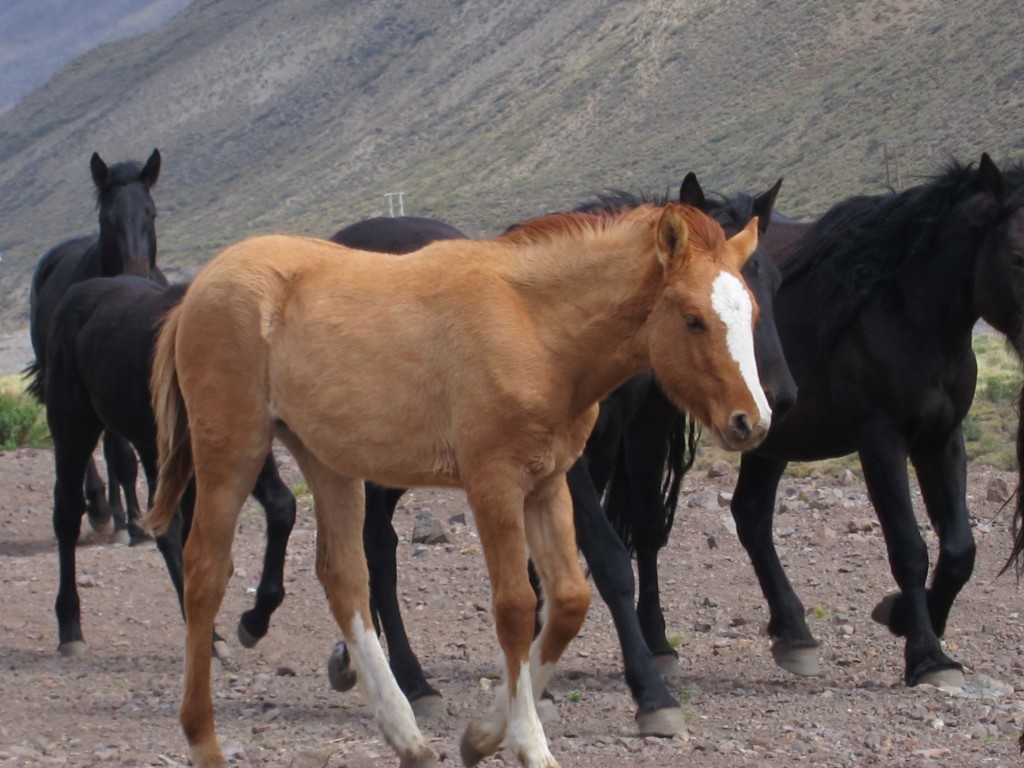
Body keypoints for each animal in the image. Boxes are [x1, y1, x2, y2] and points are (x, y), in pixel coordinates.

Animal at [28, 151, 163, 548]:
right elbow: (121, 456)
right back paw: (104, 513)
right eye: (108, 219)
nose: (136, 274)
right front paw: (135, 525)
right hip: (66, 386)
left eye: (151, 213)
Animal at [144, 204, 770, 768]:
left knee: (342, 575)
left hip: (325, 460)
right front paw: (529, 745)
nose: (753, 422)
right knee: (206, 571)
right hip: (232, 450)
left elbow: (568, 601)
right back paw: (204, 740)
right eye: (693, 317)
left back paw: (409, 738)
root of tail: (201, 284)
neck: (535, 329)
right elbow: (515, 607)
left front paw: (481, 736)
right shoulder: (493, 482)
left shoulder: (548, 483)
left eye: (755, 315)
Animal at [610, 151, 1019, 692]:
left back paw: (793, 632)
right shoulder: (882, 440)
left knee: (750, 516)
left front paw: (906, 620)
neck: (906, 310)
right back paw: (658, 643)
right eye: (1017, 254)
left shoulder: (942, 438)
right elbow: (908, 548)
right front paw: (926, 655)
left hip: (768, 437)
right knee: (650, 524)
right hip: (652, 426)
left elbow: (959, 550)